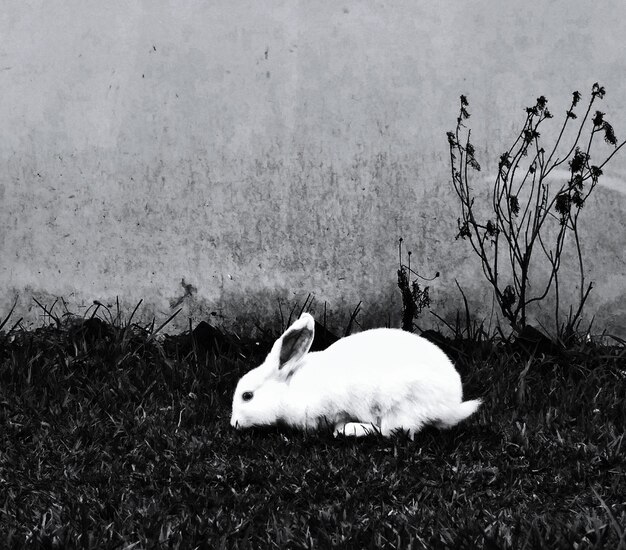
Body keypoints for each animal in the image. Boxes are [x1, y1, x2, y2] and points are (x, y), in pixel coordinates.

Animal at [232, 314, 480, 440]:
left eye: (247, 396)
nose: (233, 423)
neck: (288, 389)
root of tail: (451, 406)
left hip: (401, 403)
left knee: (391, 430)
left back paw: (348, 430)